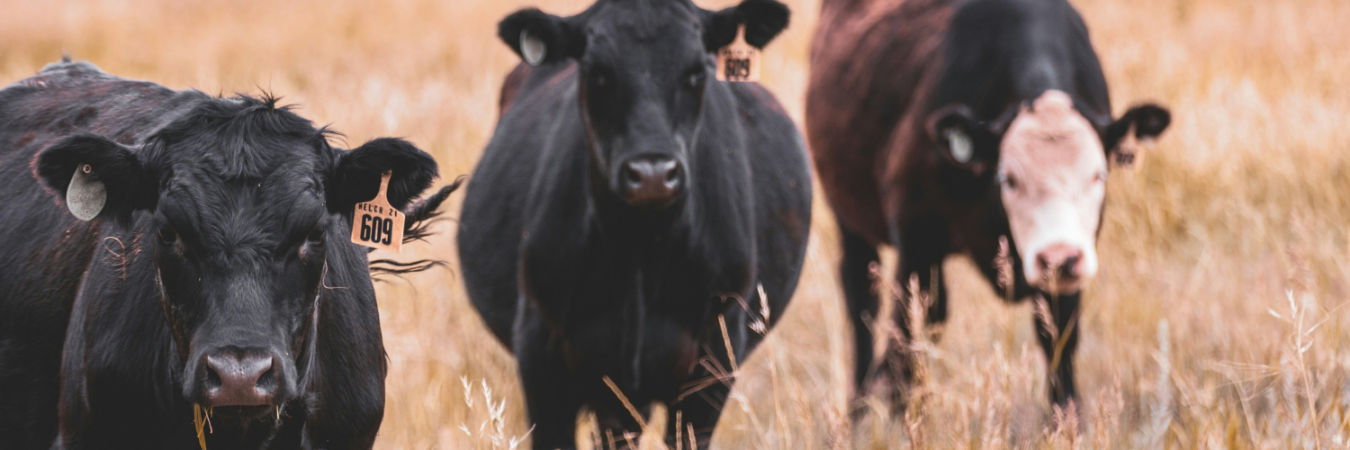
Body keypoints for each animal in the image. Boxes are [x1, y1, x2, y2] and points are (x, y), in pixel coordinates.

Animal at [457, 0, 811, 447]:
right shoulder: (540, 352)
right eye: (597, 72)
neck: (640, 252)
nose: (653, 173)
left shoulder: (714, 357)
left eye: (697, 71)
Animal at [806, 0, 1171, 412]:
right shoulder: (917, 246)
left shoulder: (1068, 275)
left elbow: (1059, 349)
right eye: (1008, 179)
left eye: (1099, 175)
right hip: (849, 219)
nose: (1058, 258)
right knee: (863, 304)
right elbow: (906, 352)